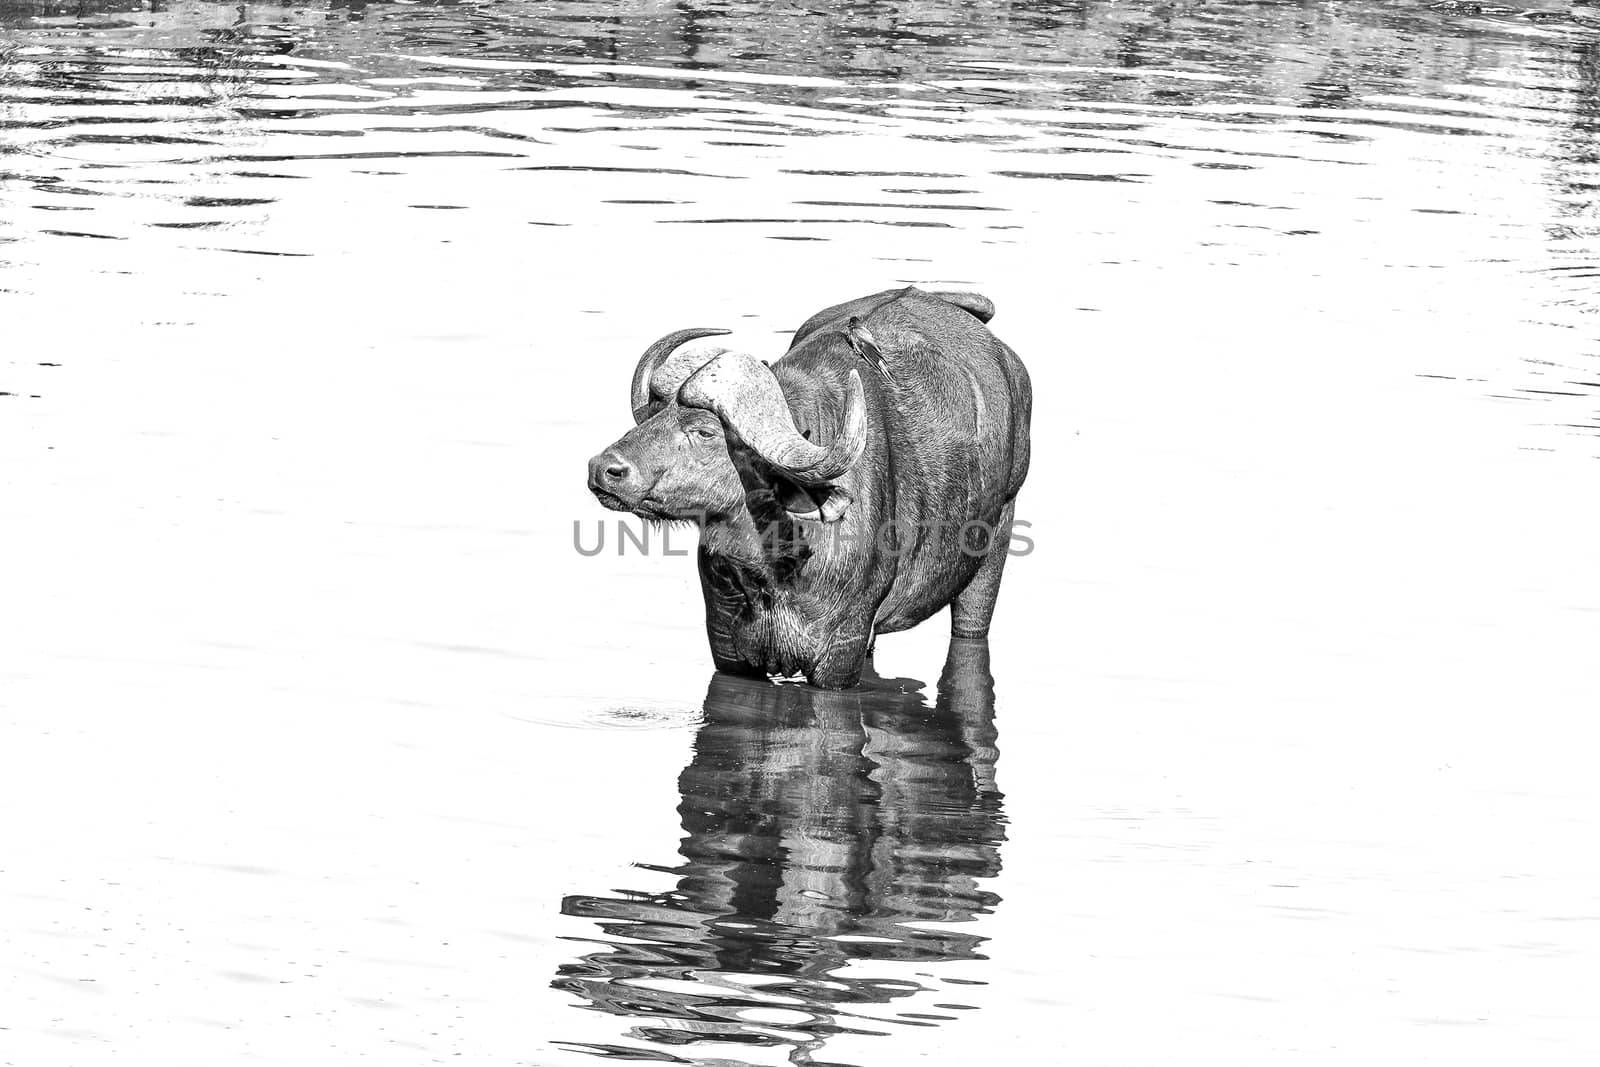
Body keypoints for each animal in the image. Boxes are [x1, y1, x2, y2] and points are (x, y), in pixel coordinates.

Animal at [585, 287, 1024, 687]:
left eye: (705, 431)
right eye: (655, 414)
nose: (603, 469)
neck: (773, 568)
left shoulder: (840, 652)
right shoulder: (728, 649)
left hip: (997, 539)